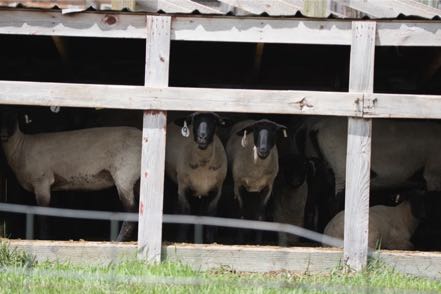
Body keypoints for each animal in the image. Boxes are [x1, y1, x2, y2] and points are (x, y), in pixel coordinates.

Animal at [0, 110, 140, 241]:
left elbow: (43, 215)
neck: (21, 148)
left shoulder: (42, 181)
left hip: (125, 173)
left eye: (12, 117)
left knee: (131, 210)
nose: (3, 134)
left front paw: (44, 238)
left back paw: (118, 240)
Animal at [164, 112, 227, 241]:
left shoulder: (216, 190)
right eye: (194, 120)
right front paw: (181, 240)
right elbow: (185, 214)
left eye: (214, 122)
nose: (202, 137)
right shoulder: (183, 188)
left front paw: (210, 241)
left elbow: (211, 215)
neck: (203, 165)